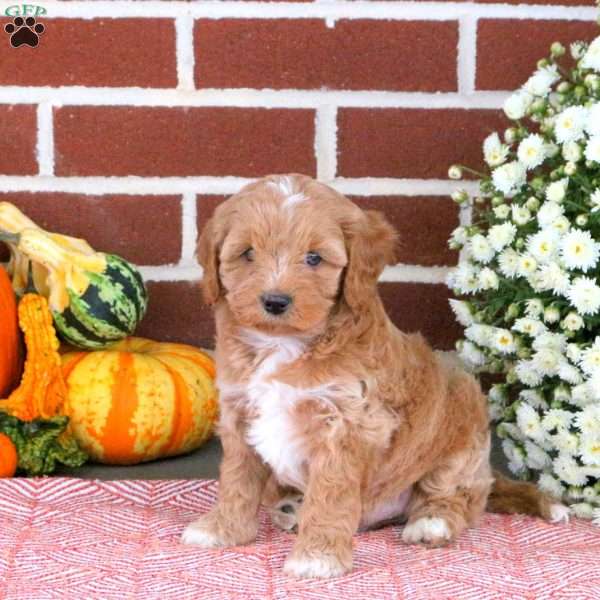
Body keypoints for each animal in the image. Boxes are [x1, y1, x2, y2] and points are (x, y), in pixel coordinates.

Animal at [182, 176, 568, 580]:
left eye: (314, 258)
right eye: (247, 254)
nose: (275, 301)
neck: (282, 343)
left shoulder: (347, 425)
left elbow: (330, 495)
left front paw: (317, 556)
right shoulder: (239, 411)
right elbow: (237, 480)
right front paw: (223, 529)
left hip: (464, 420)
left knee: (455, 493)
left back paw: (432, 523)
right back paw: (291, 508)